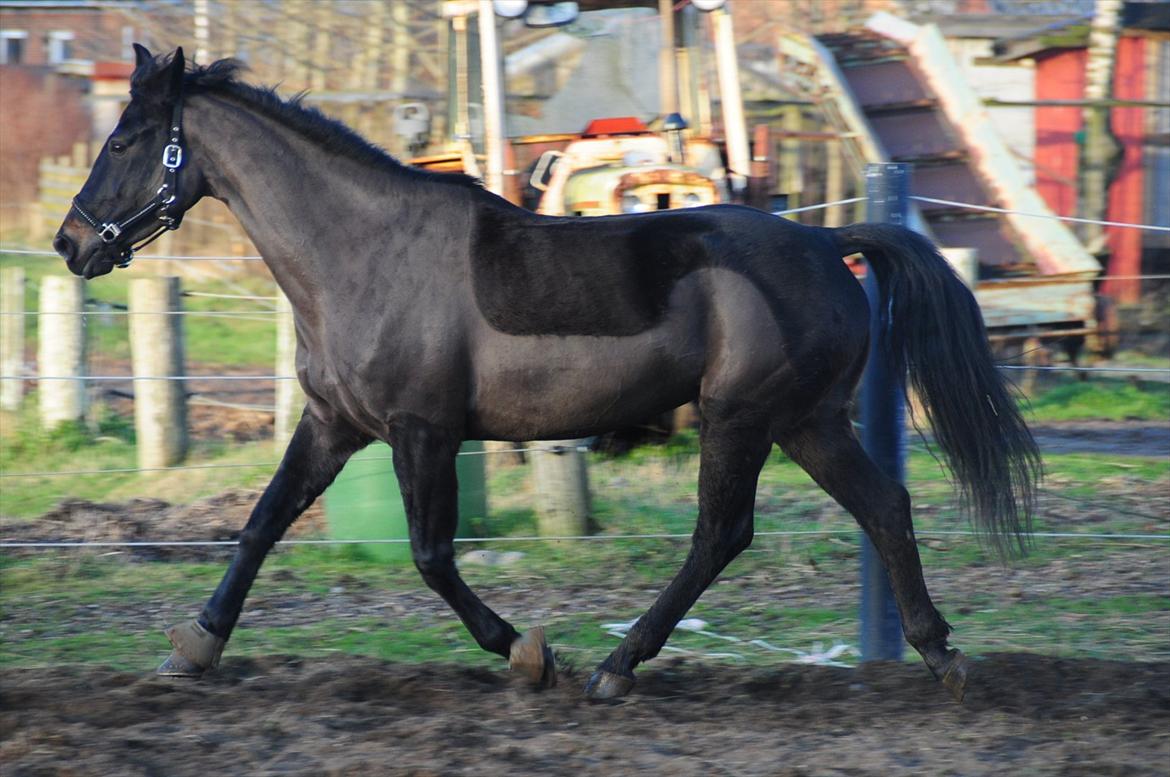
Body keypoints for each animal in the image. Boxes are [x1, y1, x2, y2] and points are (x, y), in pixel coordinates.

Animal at [57, 50, 1043, 702]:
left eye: (126, 140)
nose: (70, 243)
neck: (361, 252)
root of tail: (828, 242)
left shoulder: (422, 432)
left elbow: (431, 555)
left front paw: (528, 652)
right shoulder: (335, 425)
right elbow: (260, 526)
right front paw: (194, 647)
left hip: (742, 419)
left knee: (721, 534)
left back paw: (616, 664)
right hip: (807, 422)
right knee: (882, 506)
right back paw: (940, 652)